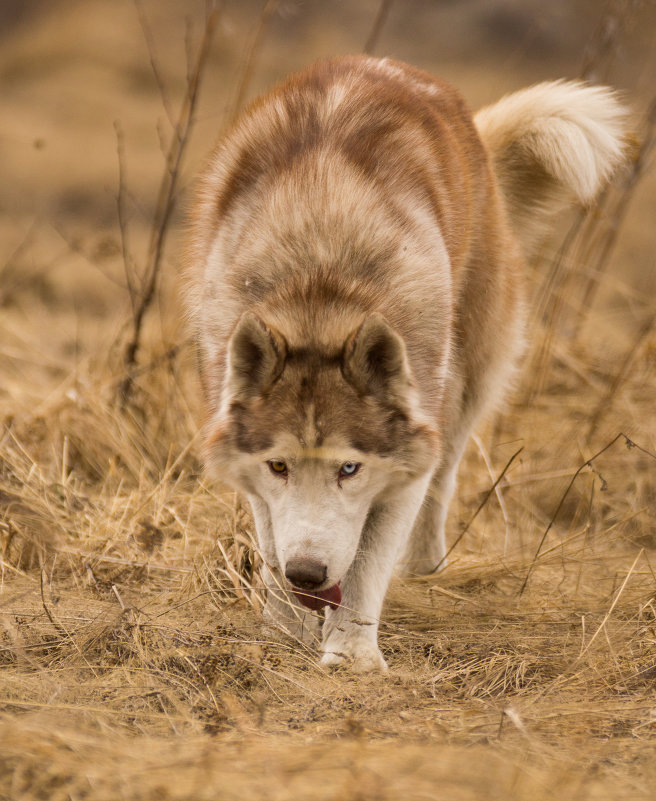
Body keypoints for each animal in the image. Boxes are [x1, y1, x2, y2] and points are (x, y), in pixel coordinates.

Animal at [182, 54, 628, 668]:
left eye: (350, 469)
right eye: (279, 467)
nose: (309, 573)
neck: (321, 292)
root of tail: (386, 65)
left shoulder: (404, 462)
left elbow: (368, 561)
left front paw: (351, 655)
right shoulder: (249, 465)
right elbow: (272, 545)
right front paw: (285, 632)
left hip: (465, 385)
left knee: (445, 474)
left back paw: (422, 567)